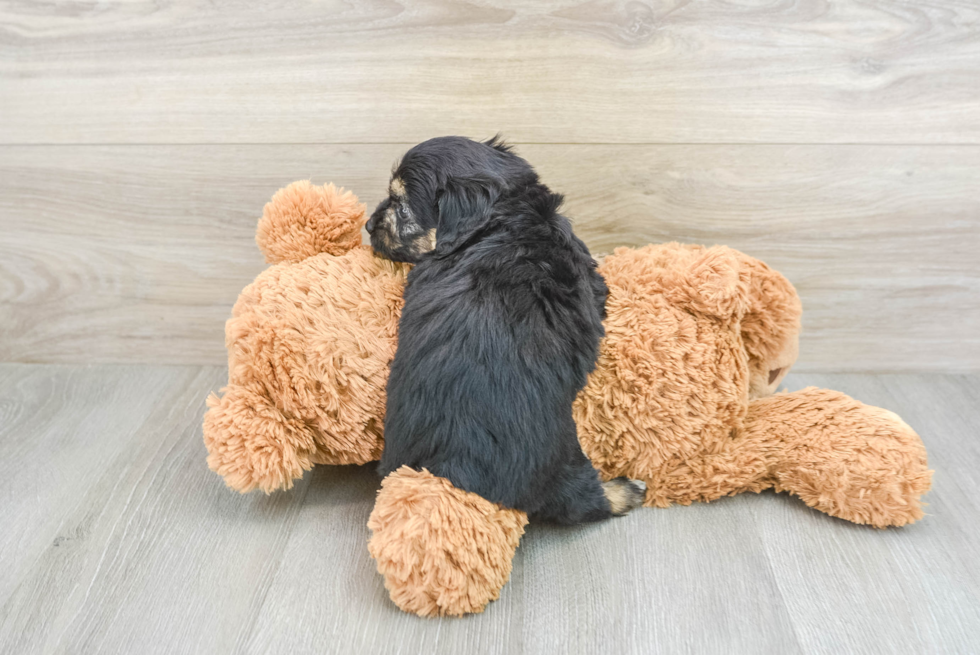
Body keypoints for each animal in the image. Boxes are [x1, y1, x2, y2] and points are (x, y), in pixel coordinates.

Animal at [368, 136, 644, 524]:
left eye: (402, 208)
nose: (367, 224)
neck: (506, 215)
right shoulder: (590, 278)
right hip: (564, 454)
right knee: (582, 501)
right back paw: (626, 490)